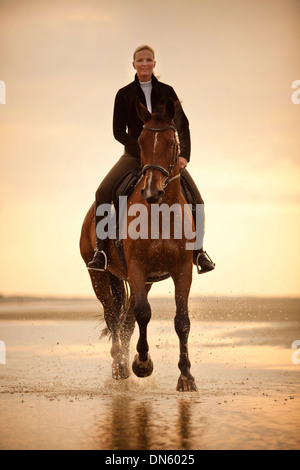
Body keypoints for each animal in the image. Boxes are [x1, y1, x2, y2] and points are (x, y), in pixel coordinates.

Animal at [79, 97, 197, 392]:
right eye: (141, 141)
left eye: (171, 143)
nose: (152, 191)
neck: (161, 213)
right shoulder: (137, 266)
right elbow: (143, 313)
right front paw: (142, 364)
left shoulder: (182, 270)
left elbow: (182, 321)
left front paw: (186, 376)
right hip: (99, 276)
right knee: (113, 316)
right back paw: (120, 366)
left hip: (143, 280)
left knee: (126, 320)